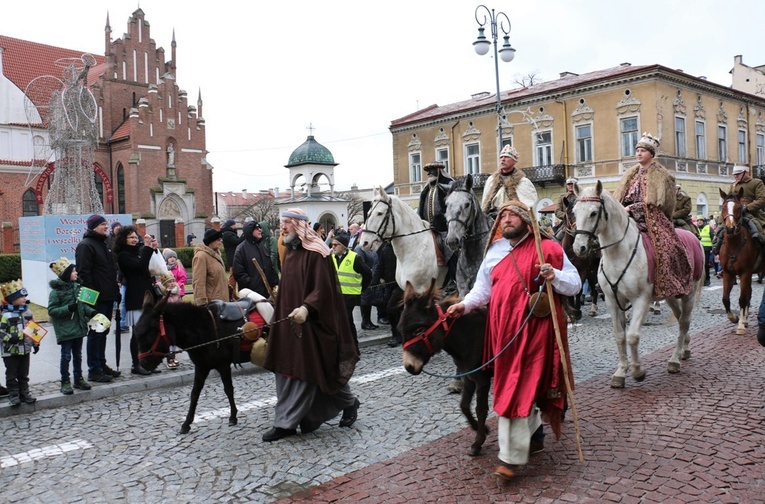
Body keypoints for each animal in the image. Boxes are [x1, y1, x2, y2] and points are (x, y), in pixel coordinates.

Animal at [572, 183, 700, 388]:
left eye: (593, 213)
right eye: (575, 212)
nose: (579, 248)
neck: (619, 254)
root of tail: (693, 236)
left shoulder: (641, 300)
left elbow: (632, 336)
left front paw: (638, 371)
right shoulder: (613, 301)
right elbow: (619, 335)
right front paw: (620, 372)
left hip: (689, 294)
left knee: (684, 322)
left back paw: (674, 360)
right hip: (671, 296)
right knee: (681, 319)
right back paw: (684, 349)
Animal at [716, 189, 764, 334]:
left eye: (738, 208)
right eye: (723, 208)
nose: (730, 228)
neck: (734, 245)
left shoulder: (745, 273)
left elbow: (742, 299)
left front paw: (741, 325)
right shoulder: (727, 273)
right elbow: (726, 299)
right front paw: (735, 318)